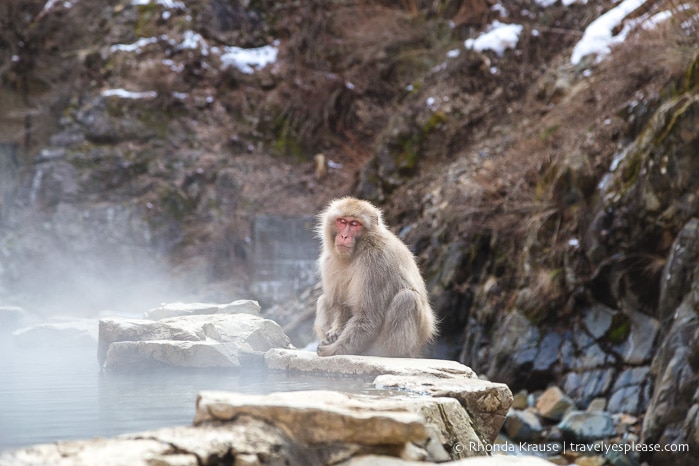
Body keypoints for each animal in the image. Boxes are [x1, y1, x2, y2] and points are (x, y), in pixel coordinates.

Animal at [314, 197, 434, 356]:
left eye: (354, 224)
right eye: (342, 221)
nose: (344, 236)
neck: (357, 251)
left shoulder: (376, 262)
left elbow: (369, 318)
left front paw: (332, 350)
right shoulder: (329, 261)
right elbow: (342, 305)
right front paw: (336, 331)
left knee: (407, 298)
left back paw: (382, 353)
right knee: (324, 300)